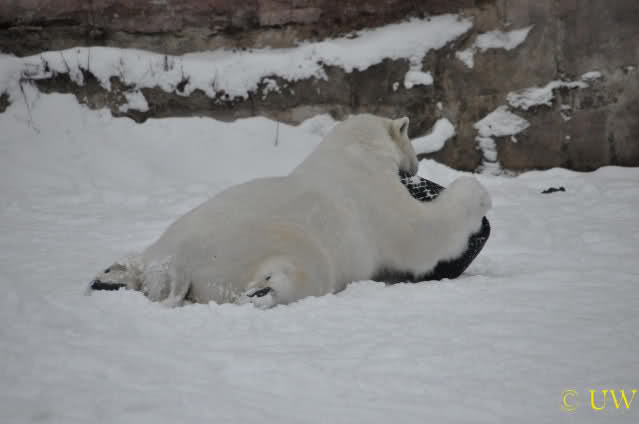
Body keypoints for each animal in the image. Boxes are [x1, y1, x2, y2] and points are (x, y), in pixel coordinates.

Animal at [89, 114, 492, 308]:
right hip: (273, 245)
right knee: (301, 273)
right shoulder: (371, 193)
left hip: (168, 242)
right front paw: (477, 192)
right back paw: (264, 292)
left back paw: (109, 275)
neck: (354, 149)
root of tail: (177, 266)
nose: (416, 166)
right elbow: (420, 235)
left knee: (142, 260)